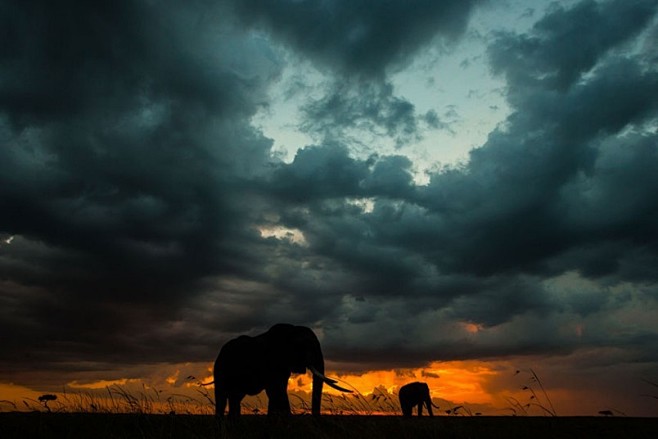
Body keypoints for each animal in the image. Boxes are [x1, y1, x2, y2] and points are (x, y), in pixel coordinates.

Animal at [214, 324, 348, 418]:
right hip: (220, 369)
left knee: (235, 397)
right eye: (307, 346)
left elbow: (278, 391)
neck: (292, 330)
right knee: (222, 397)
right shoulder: (272, 362)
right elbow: (276, 391)